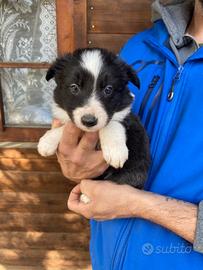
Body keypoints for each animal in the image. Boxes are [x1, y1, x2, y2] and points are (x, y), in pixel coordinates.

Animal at [37, 47, 151, 189]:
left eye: (108, 89)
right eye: (74, 87)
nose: (89, 121)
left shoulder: (130, 119)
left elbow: (113, 123)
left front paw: (115, 150)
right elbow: (69, 125)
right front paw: (47, 141)